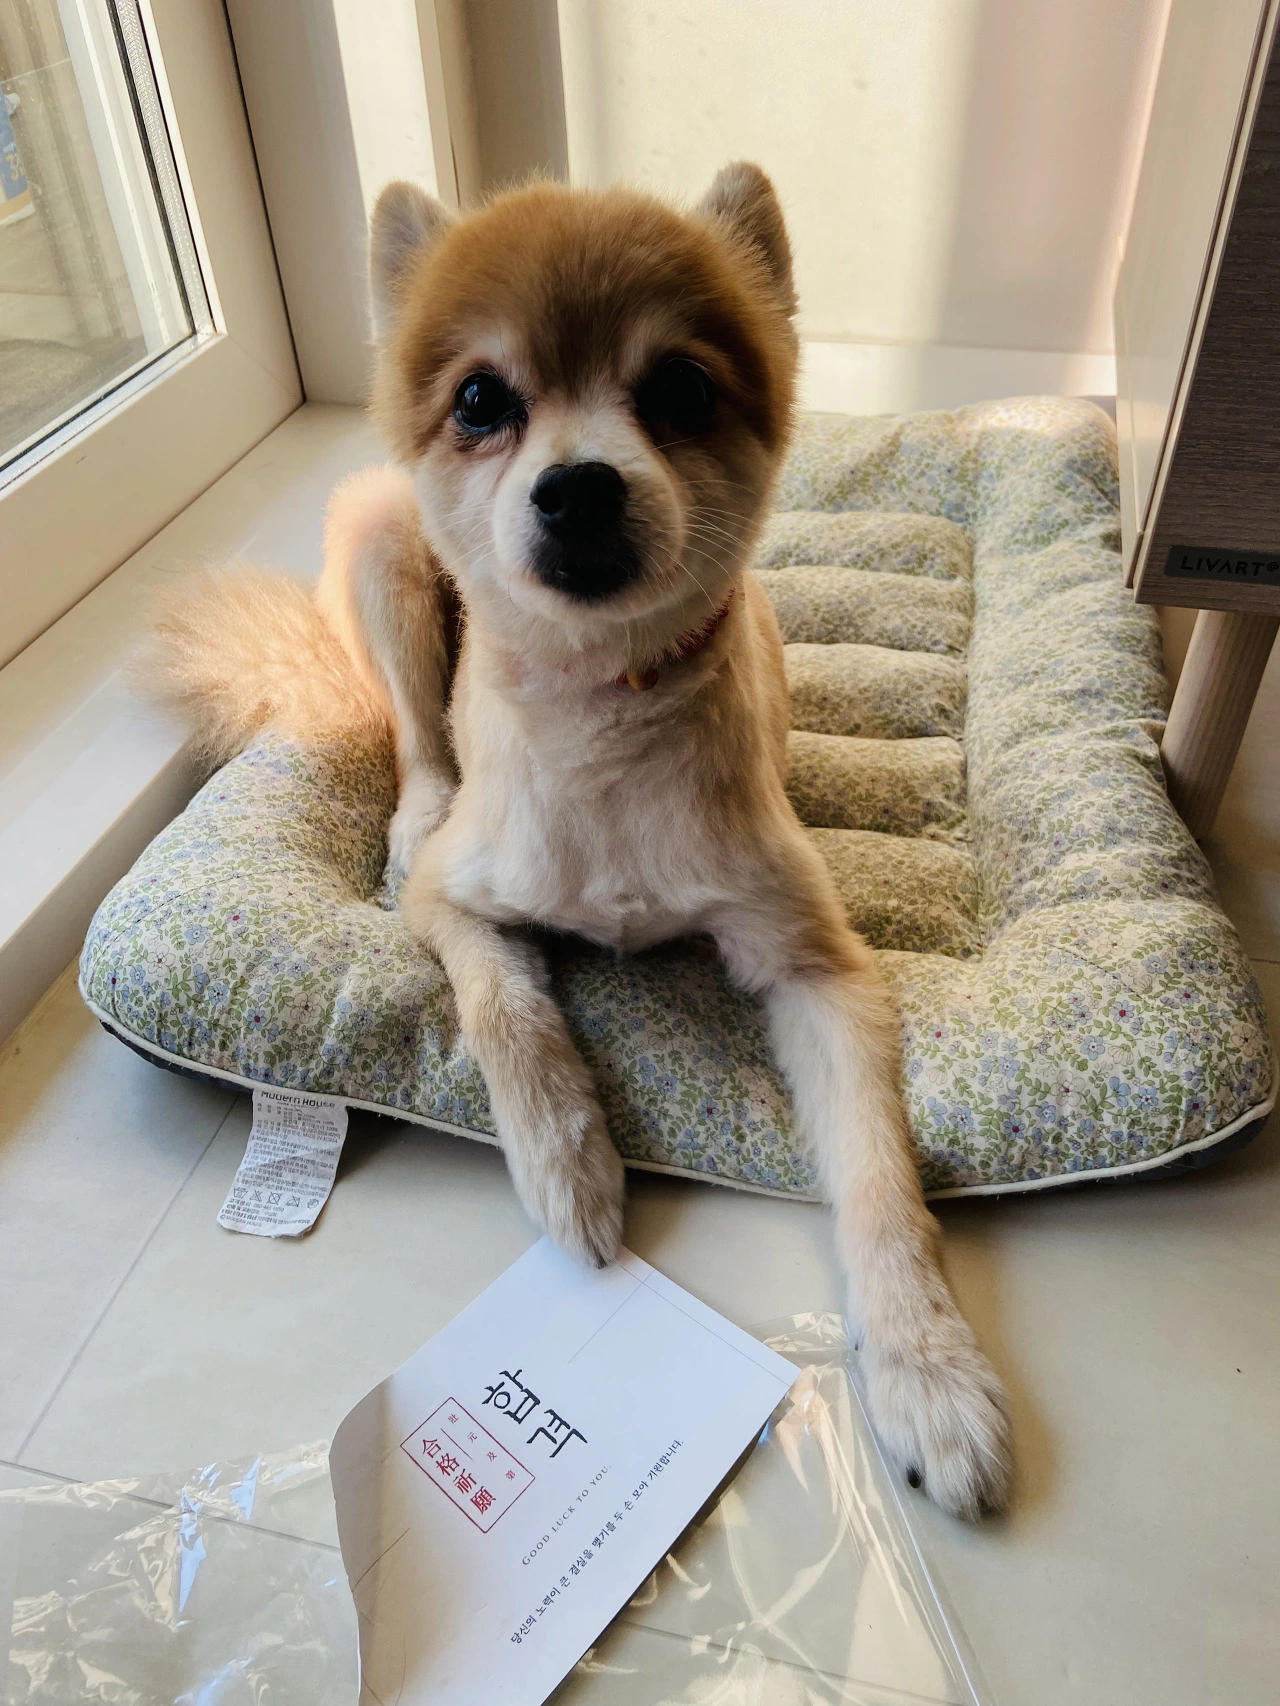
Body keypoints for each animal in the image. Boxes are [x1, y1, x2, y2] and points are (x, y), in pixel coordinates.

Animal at [152, 164, 1010, 1518]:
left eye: (680, 389)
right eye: (480, 399)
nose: (577, 485)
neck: (604, 710)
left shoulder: (816, 966)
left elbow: (881, 1184)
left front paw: (927, 1370)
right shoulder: (458, 898)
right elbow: (508, 1012)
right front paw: (572, 1165)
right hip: (387, 548)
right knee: (415, 738)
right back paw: (409, 805)